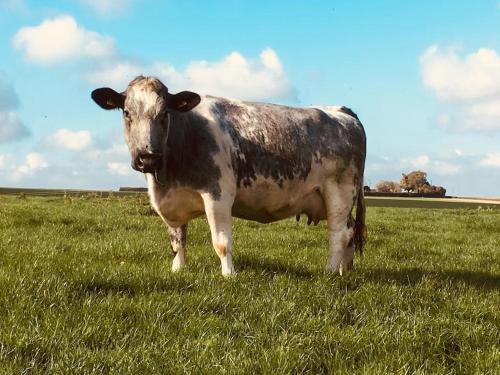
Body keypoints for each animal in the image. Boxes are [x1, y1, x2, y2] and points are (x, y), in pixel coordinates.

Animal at [93, 75, 368, 276]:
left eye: (164, 114)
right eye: (127, 113)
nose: (147, 157)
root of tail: (341, 110)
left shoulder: (218, 194)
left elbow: (221, 242)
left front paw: (229, 275)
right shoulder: (171, 202)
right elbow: (177, 240)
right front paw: (178, 270)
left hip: (340, 190)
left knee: (339, 233)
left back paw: (330, 272)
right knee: (349, 232)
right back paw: (345, 271)